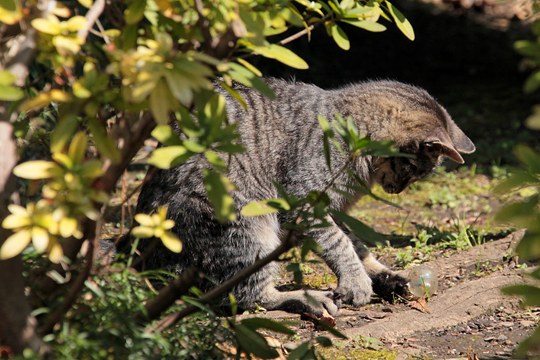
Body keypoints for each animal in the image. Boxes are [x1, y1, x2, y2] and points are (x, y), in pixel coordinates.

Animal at [133, 78, 474, 316]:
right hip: (244, 225)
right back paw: (307, 298)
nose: (398, 189)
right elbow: (340, 243)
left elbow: (356, 244)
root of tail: (143, 260)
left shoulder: (332, 209)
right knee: (248, 296)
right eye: (414, 172)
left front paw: (380, 273)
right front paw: (358, 281)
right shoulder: (305, 202)